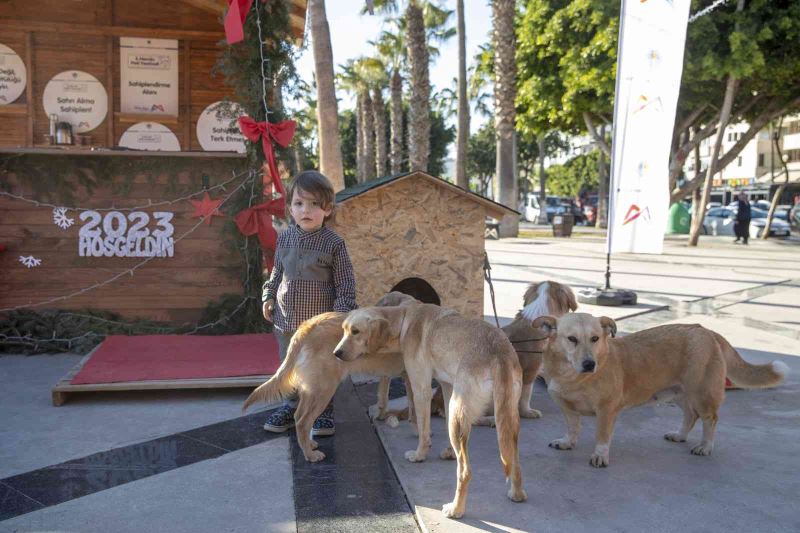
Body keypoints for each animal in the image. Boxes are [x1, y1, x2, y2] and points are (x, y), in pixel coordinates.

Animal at [332, 302, 524, 516]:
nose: (336, 353)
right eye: (344, 330)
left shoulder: (421, 388)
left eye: (355, 331)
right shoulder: (447, 388)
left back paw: (456, 509)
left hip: (461, 415)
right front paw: (449, 452)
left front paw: (419, 455)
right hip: (503, 418)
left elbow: (423, 429)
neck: (405, 319)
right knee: (514, 460)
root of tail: (499, 352)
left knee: (465, 472)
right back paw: (517, 494)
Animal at [536, 314, 792, 468]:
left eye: (595, 338)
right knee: (690, 415)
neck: (573, 377)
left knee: (710, 419)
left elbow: (602, 436)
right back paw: (680, 435)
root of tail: (706, 330)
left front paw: (600, 455)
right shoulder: (567, 408)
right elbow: (573, 427)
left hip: (702, 394)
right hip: (678, 393)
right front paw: (568, 441)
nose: (590, 364)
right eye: (571, 339)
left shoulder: (606, 411)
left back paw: (705, 446)